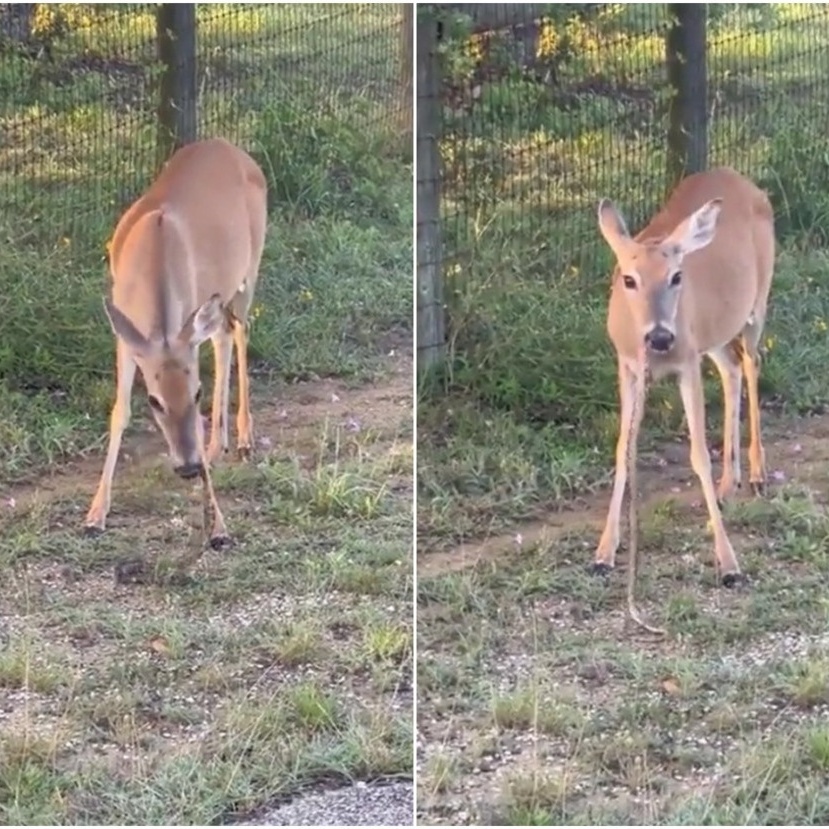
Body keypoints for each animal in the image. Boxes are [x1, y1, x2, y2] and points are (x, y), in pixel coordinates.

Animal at [83, 138, 266, 548]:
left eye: (197, 394)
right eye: (154, 401)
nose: (188, 468)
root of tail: (231, 146)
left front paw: (219, 528)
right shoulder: (128, 336)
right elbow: (119, 411)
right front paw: (95, 513)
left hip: (250, 266)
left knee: (240, 330)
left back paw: (243, 439)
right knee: (224, 334)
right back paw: (217, 447)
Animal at [592, 165, 772, 612]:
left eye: (676, 276)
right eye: (629, 279)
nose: (659, 337)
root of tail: (740, 178)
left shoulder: (687, 362)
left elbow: (698, 455)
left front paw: (730, 565)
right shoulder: (628, 365)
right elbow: (623, 449)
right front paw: (604, 553)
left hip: (756, 303)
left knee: (752, 362)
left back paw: (757, 474)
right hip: (715, 333)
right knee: (731, 369)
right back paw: (728, 485)